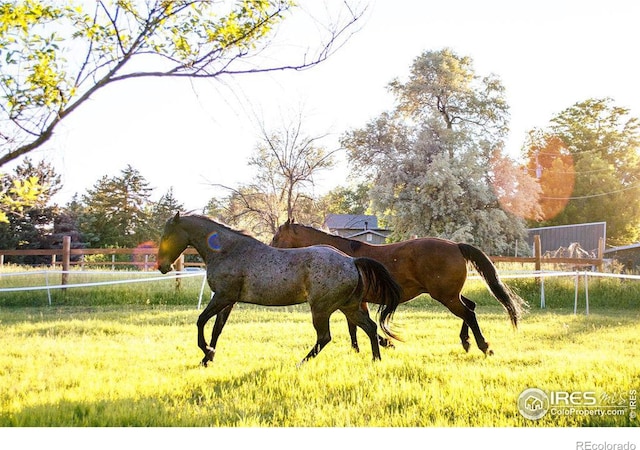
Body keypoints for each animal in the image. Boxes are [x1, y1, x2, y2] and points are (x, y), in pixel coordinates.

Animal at [158, 214, 402, 366]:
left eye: (166, 235)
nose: (162, 266)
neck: (228, 251)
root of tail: (351, 261)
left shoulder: (222, 297)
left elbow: (200, 321)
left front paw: (207, 352)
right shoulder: (228, 301)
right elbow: (217, 329)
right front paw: (207, 358)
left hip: (322, 309)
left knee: (325, 337)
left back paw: (300, 363)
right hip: (348, 306)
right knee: (370, 327)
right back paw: (376, 360)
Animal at [272, 221, 528, 356]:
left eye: (276, 237)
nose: (271, 250)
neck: (342, 256)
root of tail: (456, 245)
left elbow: (358, 325)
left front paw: (383, 343)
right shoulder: (356, 301)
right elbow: (355, 326)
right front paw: (363, 348)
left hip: (446, 296)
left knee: (469, 313)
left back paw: (483, 346)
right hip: (450, 294)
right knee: (470, 308)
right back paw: (466, 342)